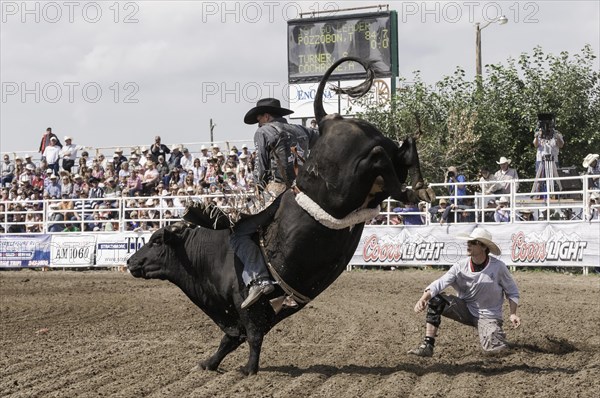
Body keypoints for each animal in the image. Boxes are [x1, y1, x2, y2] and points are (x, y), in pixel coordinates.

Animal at [129, 56, 434, 376]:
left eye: (156, 240)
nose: (130, 262)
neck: (210, 254)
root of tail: (327, 120)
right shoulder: (239, 316)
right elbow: (229, 340)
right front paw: (208, 363)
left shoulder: (246, 308)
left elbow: (252, 337)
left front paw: (248, 370)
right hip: (378, 174)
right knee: (402, 151)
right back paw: (418, 185)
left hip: (347, 182)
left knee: (377, 156)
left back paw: (415, 188)